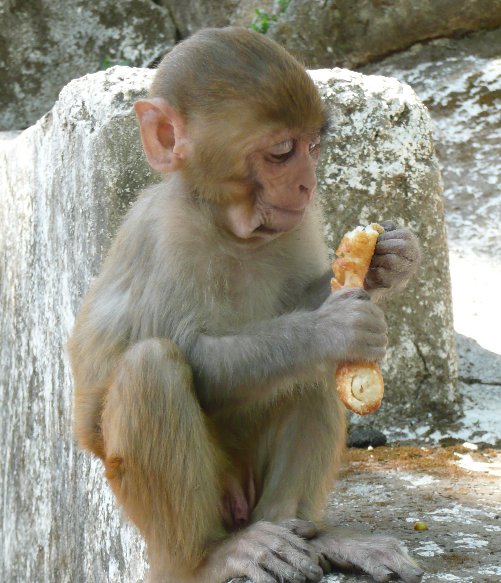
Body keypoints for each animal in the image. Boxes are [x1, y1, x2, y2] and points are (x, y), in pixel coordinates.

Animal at [68, 26, 422, 583]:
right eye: (281, 151)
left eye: (312, 146)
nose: (308, 183)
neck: (230, 227)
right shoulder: (170, 235)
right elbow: (197, 357)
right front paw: (330, 330)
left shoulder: (297, 221)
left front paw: (388, 262)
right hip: (164, 514)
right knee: (153, 366)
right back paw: (215, 556)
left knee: (309, 378)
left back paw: (313, 535)